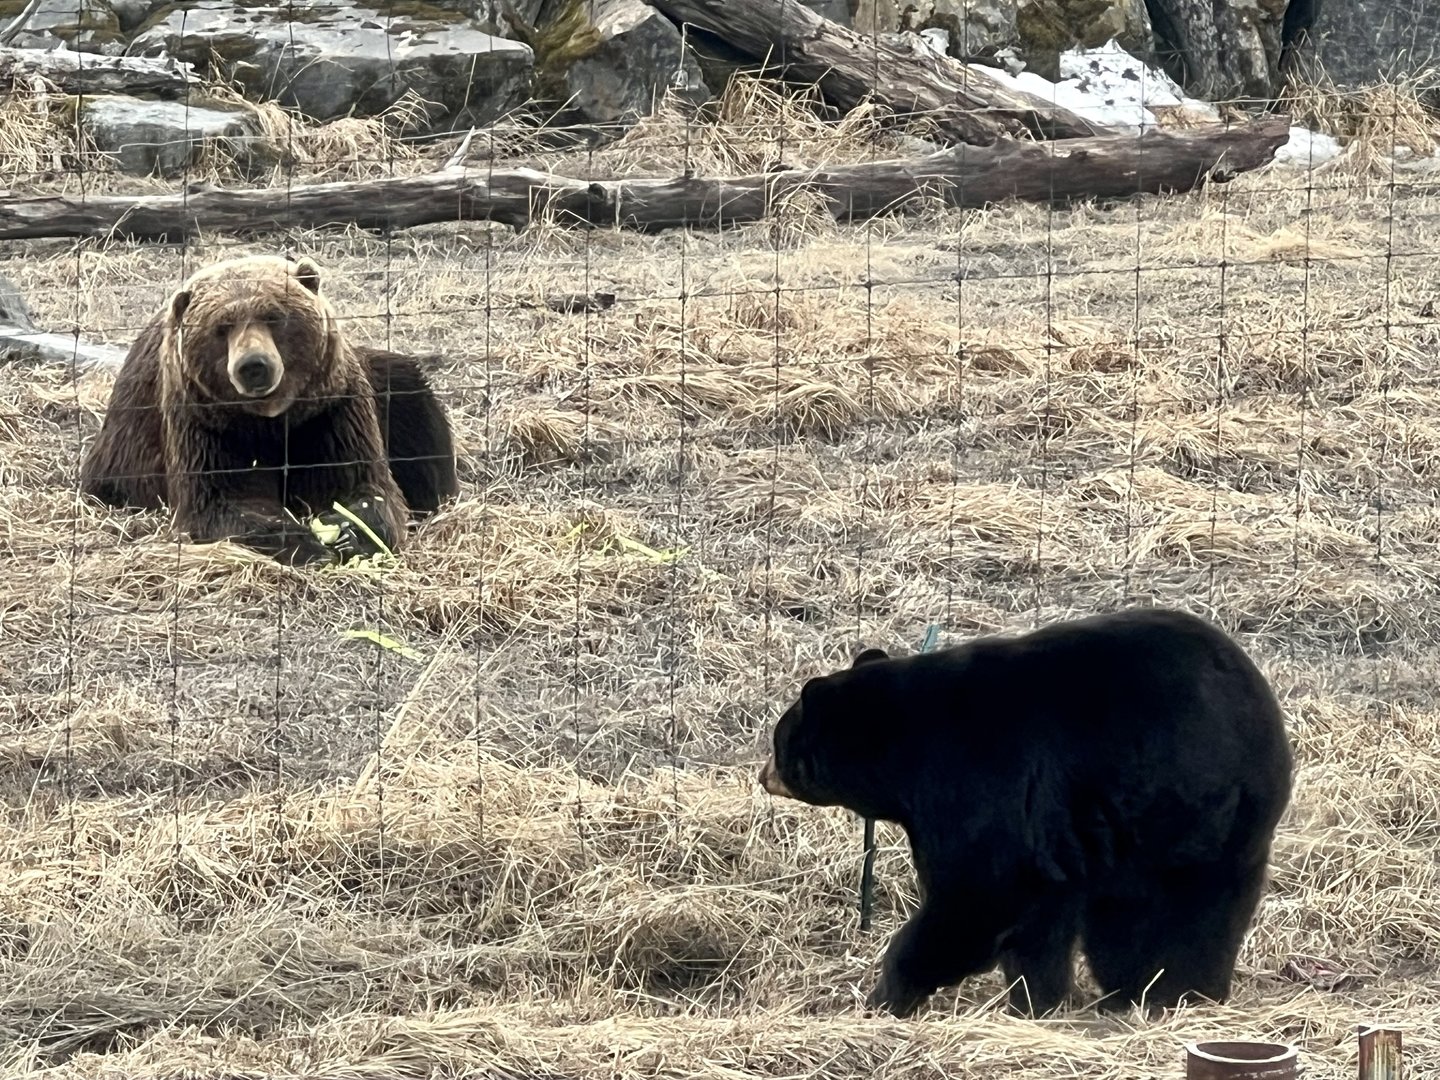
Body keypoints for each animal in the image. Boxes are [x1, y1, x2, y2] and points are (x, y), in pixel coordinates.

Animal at [80, 253, 460, 565]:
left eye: (274, 316)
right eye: (222, 328)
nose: (253, 365)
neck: (272, 419)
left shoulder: (330, 410)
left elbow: (365, 483)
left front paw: (350, 530)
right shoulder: (207, 424)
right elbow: (221, 502)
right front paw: (303, 542)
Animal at [758, 607, 1293, 1019]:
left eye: (779, 740)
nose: (763, 775)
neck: (898, 750)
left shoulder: (978, 781)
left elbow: (976, 895)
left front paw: (885, 996)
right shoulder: (1056, 842)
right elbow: (1040, 921)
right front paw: (1036, 1003)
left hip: (1190, 814)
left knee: (1177, 911)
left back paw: (1170, 992)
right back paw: (1145, 993)